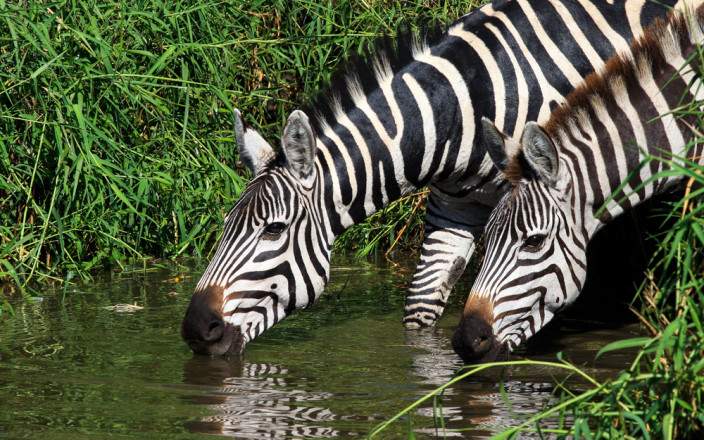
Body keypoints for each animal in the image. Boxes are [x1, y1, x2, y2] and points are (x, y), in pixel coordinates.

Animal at [183, 0, 680, 356]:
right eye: (225, 227)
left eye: (274, 229)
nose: (195, 330)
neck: (463, 106)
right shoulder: (453, 208)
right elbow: (422, 308)